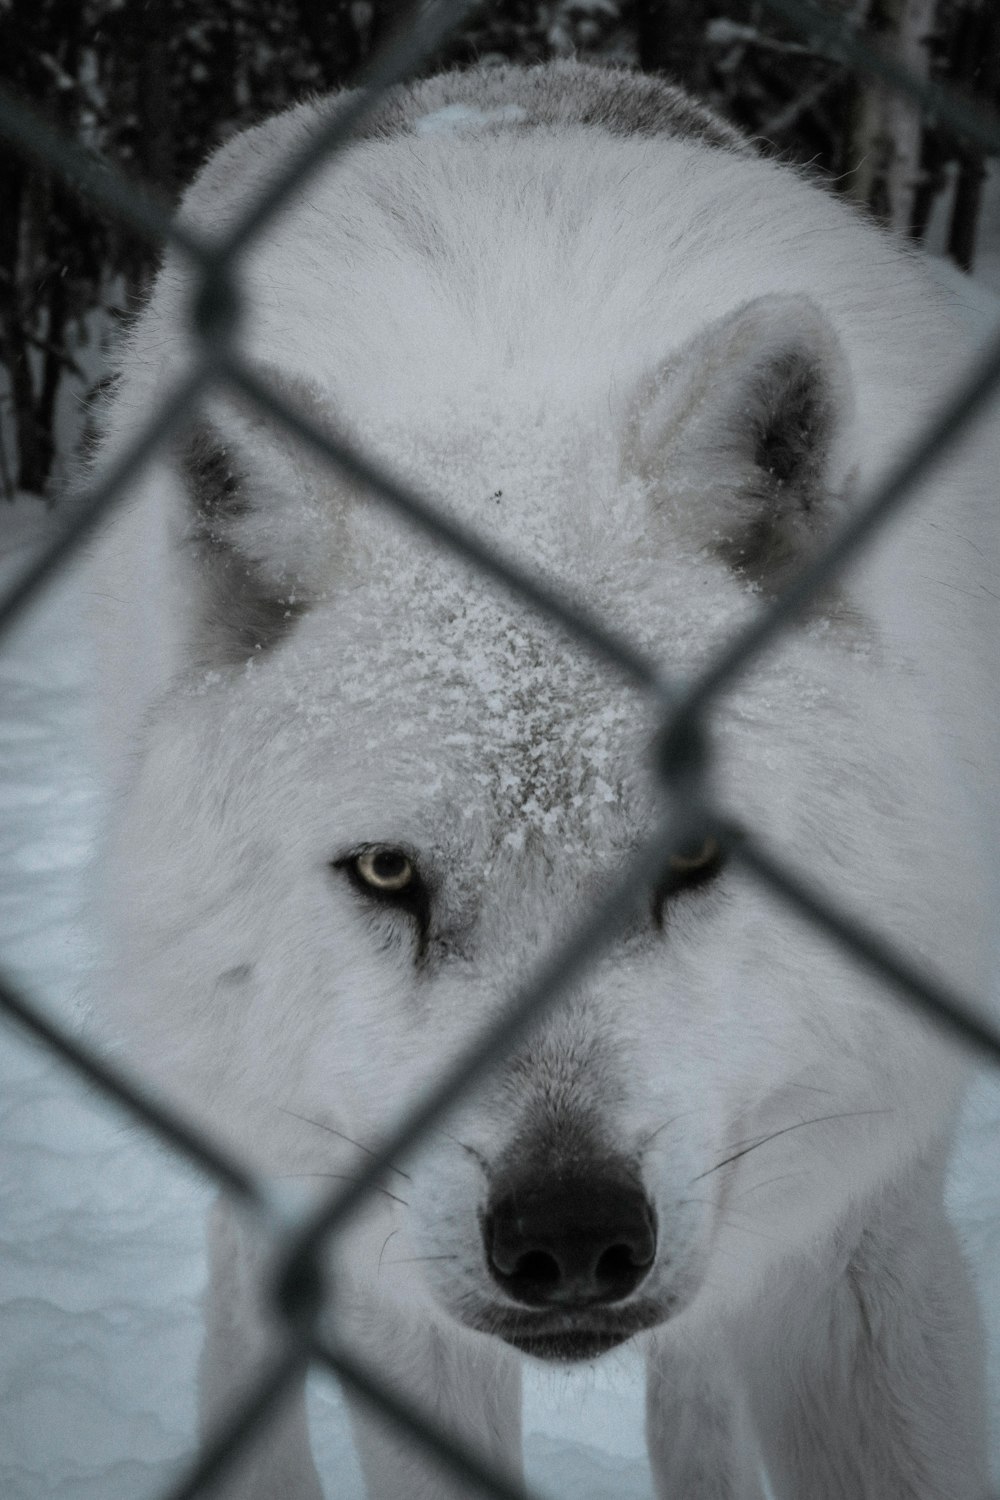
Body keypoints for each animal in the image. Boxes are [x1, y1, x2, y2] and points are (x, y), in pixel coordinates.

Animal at [89, 58, 995, 1500]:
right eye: (386, 873)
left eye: (692, 857)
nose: (569, 1236)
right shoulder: (391, 1290)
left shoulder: (857, 1243)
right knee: (239, 1295)